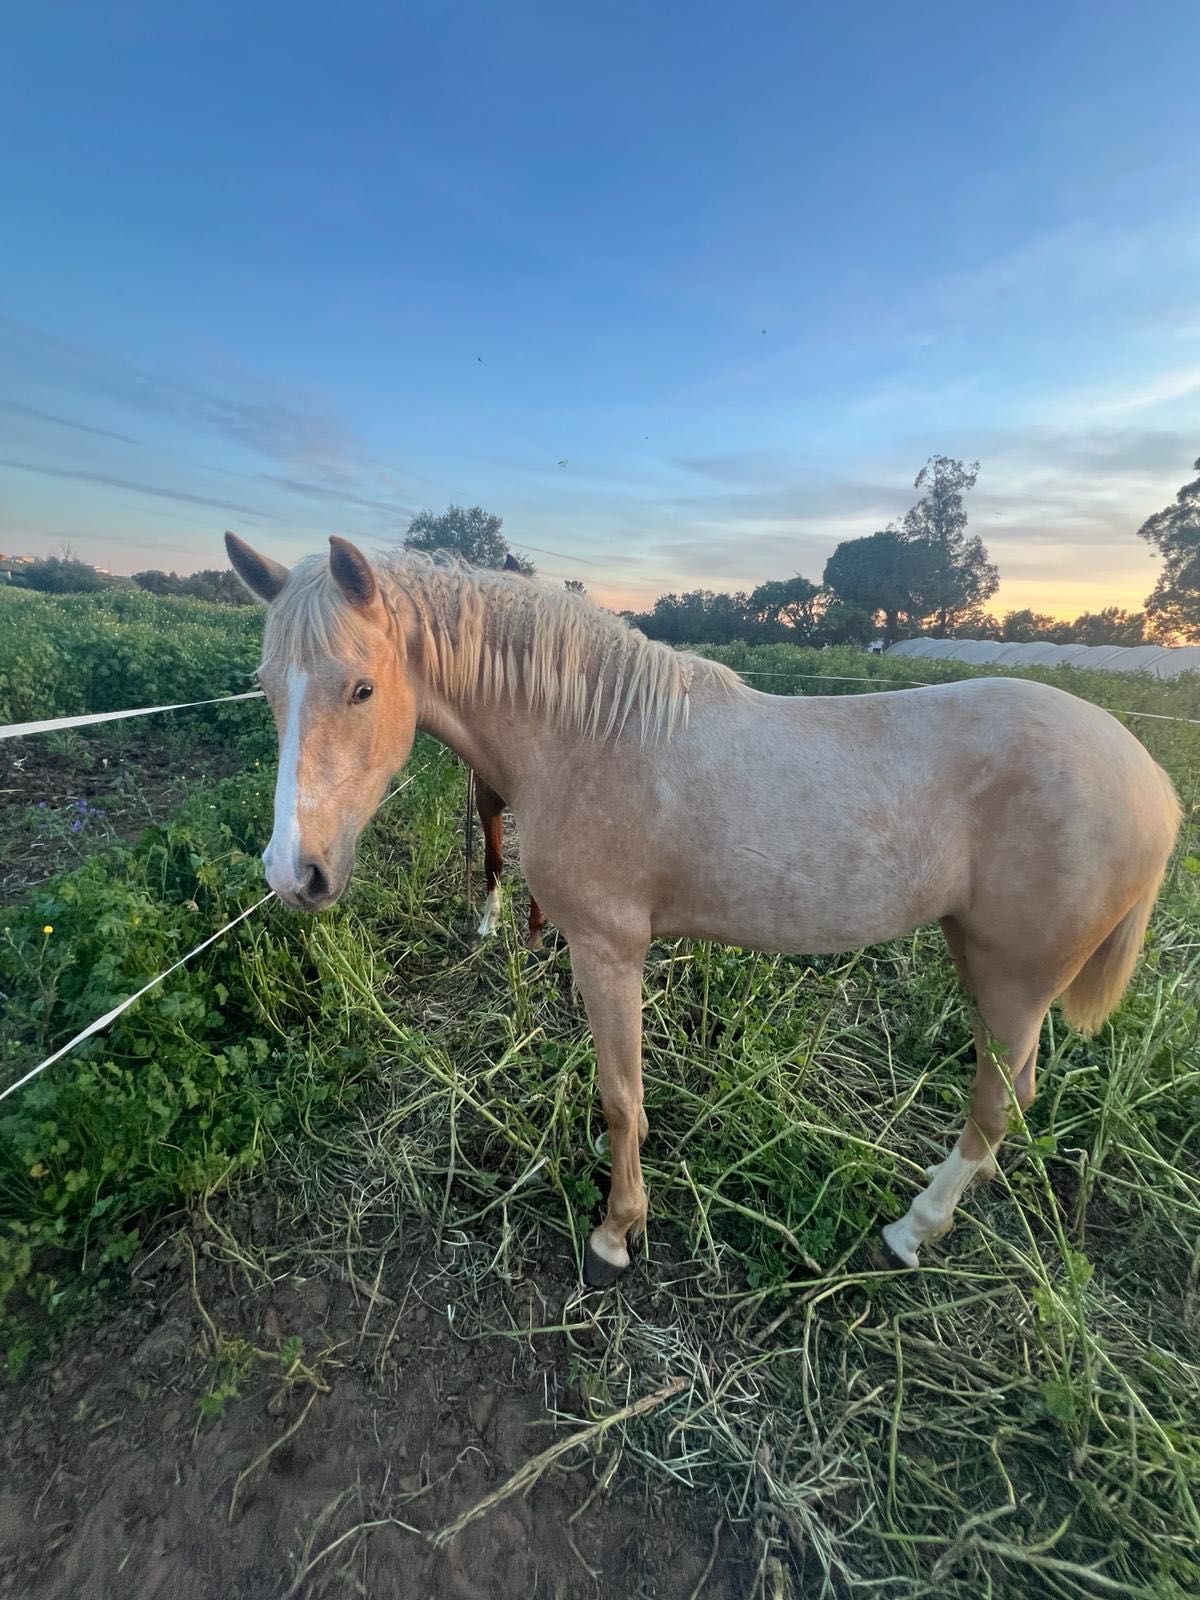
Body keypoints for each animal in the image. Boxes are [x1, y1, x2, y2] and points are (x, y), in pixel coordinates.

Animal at [225, 534, 1184, 1286]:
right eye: (267, 685)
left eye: (360, 688)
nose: (293, 873)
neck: (589, 734)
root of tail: (1152, 781)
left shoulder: (608, 950)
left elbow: (623, 1096)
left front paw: (618, 1230)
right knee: (1014, 1095)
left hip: (1014, 980)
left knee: (997, 1102)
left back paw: (915, 1229)